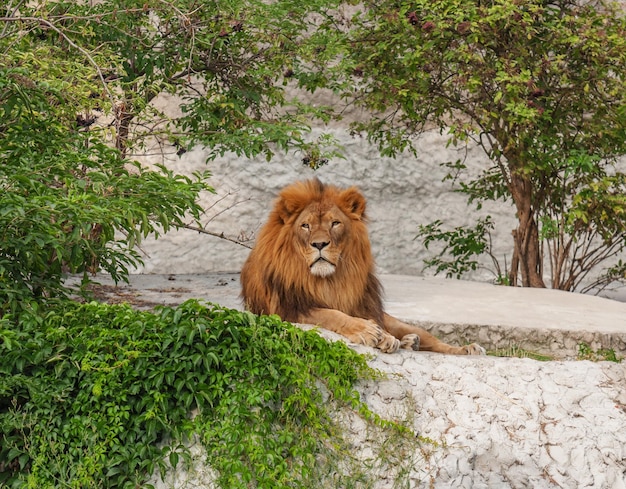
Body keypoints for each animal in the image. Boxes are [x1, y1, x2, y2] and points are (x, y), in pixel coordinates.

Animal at [239, 179, 482, 354]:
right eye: (305, 225)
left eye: (335, 223)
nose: (319, 244)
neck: (328, 280)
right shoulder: (289, 309)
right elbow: (332, 314)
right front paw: (369, 332)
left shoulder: (361, 306)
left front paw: (384, 337)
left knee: (428, 337)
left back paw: (462, 348)